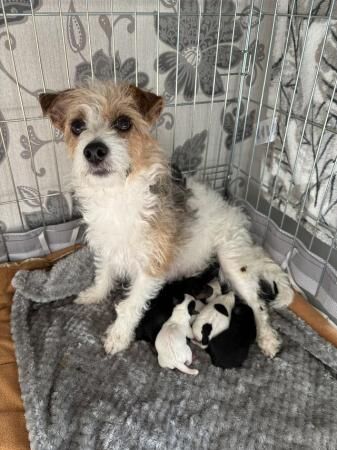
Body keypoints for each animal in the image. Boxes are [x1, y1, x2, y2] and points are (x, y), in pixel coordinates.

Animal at [38, 81, 292, 358]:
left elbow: (130, 305)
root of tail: (236, 215)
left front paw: (118, 335)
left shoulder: (151, 265)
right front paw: (95, 294)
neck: (117, 193)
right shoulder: (106, 247)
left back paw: (267, 337)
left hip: (233, 260)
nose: (94, 151)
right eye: (77, 126)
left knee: (257, 303)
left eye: (124, 123)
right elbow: (103, 275)